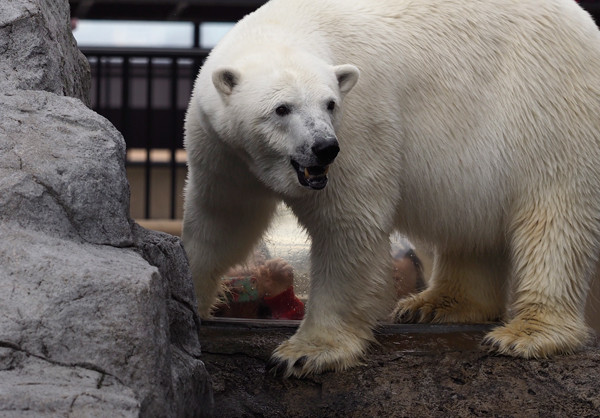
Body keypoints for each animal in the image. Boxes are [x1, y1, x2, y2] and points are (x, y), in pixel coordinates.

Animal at [182, 0, 600, 378]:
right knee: (471, 229)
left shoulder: (362, 124)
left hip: (548, 110)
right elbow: (222, 222)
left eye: (330, 104)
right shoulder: (223, 152)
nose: (324, 147)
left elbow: (348, 224)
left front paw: (305, 354)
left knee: (556, 219)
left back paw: (526, 333)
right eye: (282, 108)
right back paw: (436, 304)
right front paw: (193, 299)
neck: (286, 26)